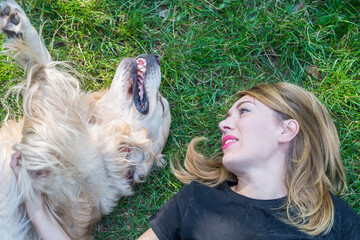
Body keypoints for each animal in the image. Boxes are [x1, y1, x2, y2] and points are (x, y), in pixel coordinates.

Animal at [0, 0, 172, 239]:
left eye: (162, 105)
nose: (157, 57)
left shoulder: (53, 163)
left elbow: (47, 72)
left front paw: (20, 30)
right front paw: (17, 24)